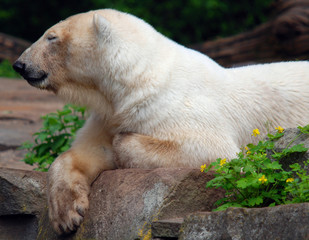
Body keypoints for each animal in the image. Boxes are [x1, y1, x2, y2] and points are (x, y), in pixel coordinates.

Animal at [13, 9, 306, 234]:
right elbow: (87, 151)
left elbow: (215, 151)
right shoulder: (110, 115)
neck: (136, 81)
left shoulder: (175, 106)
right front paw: (67, 215)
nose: (19, 65)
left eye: (51, 37)